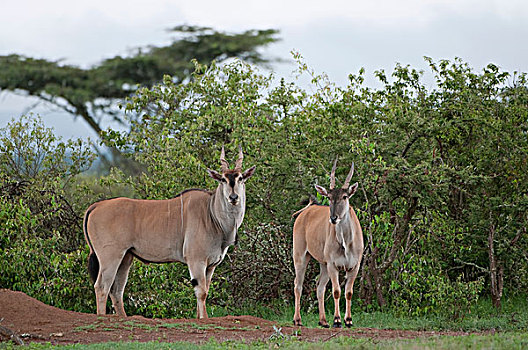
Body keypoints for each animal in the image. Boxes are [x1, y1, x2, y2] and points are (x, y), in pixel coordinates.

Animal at [83, 146, 256, 318]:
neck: (212, 214)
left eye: (241, 178)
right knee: (102, 287)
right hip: (110, 257)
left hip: (126, 258)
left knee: (116, 290)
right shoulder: (196, 261)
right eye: (223, 179)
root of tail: (96, 206)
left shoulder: (210, 266)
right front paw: (204, 319)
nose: (233, 197)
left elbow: (203, 292)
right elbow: (201, 293)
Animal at [292, 159, 364, 328]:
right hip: (300, 257)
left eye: (345, 196)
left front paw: (348, 320)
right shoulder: (333, 265)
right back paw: (297, 320)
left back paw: (323, 321)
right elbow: (337, 291)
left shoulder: (354, 266)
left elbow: (348, 292)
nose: (333, 218)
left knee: (320, 287)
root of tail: (307, 210)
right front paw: (337, 320)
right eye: (329, 197)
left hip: (322, 264)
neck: (346, 243)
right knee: (298, 285)